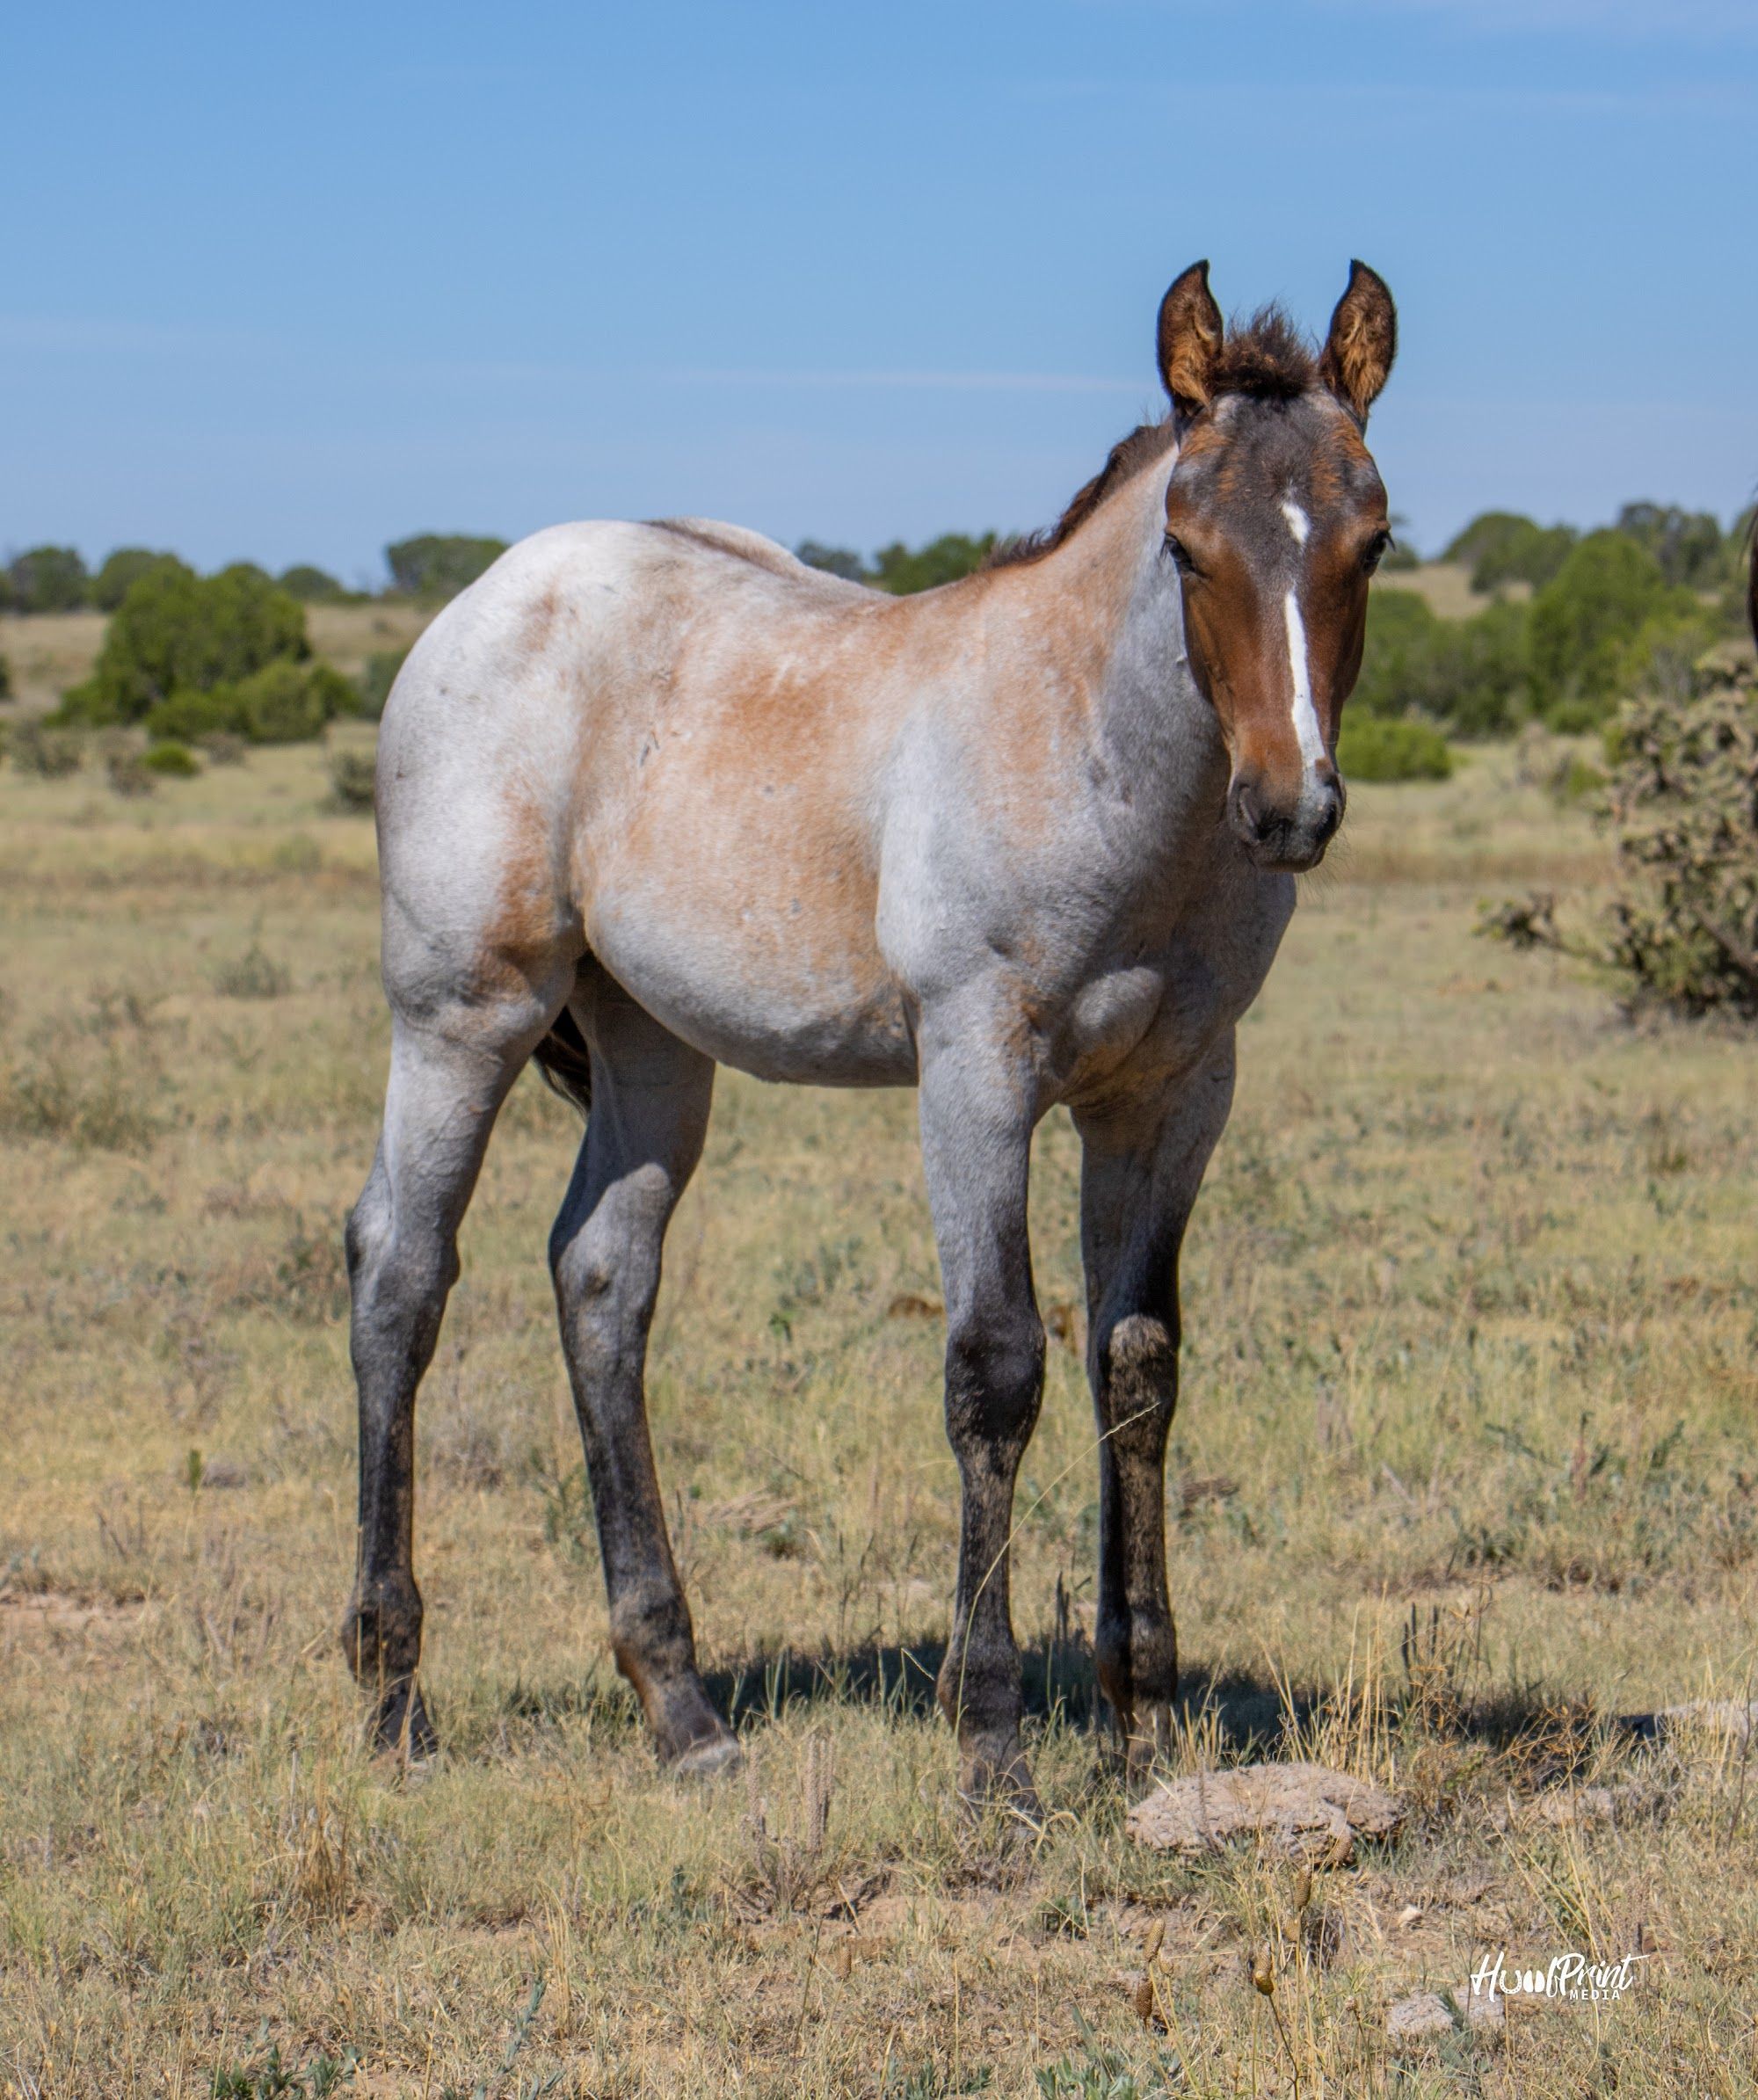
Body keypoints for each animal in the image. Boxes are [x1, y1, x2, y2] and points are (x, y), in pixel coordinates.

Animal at [341, 258, 1398, 1808]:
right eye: (1188, 548)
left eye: (1372, 544)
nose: (1289, 807)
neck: (1089, 751)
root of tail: (483, 594)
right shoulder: (975, 1069)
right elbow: (997, 1369)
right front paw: (992, 1738)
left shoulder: (1173, 1093)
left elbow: (1137, 1365)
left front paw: (1143, 1715)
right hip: (464, 1013)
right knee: (400, 1275)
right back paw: (390, 1694)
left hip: (652, 1046)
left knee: (600, 1281)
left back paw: (682, 1706)